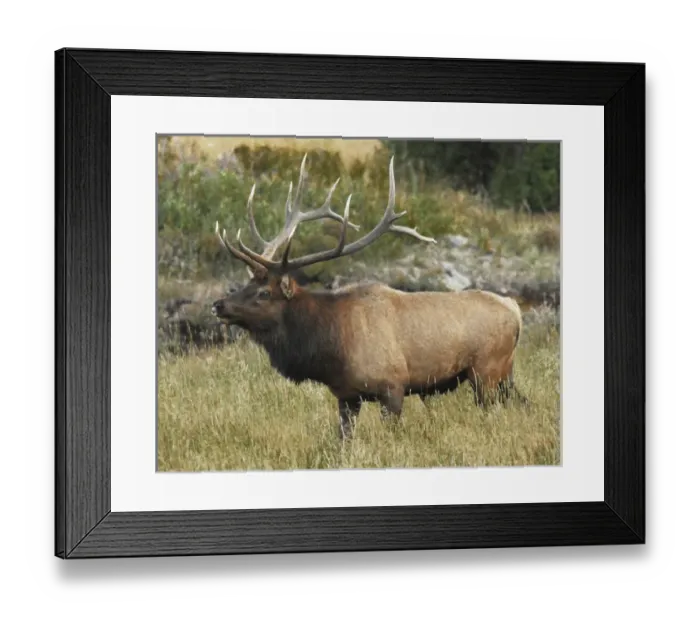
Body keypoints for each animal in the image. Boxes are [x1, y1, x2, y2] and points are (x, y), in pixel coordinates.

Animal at [210, 154, 526, 440]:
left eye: (264, 293)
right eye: (246, 283)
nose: (218, 305)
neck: (331, 346)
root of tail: (515, 309)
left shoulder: (393, 386)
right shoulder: (346, 395)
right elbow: (344, 439)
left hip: (486, 370)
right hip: (505, 373)